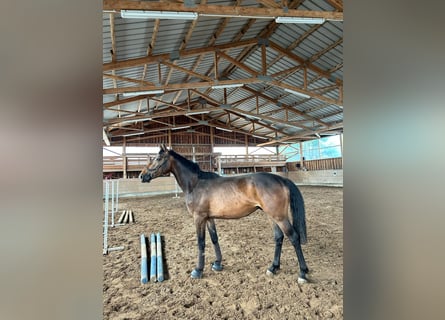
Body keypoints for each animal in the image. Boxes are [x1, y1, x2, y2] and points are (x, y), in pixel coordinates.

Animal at [140, 144, 308, 282]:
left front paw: (198, 270)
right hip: (272, 216)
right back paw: (273, 267)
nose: (142, 176)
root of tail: (281, 180)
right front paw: (217, 264)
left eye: (158, 158)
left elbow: (201, 242)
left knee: (294, 238)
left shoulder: (199, 218)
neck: (195, 183)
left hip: (279, 217)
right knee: (279, 237)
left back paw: (302, 273)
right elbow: (214, 239)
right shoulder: (209, 218)